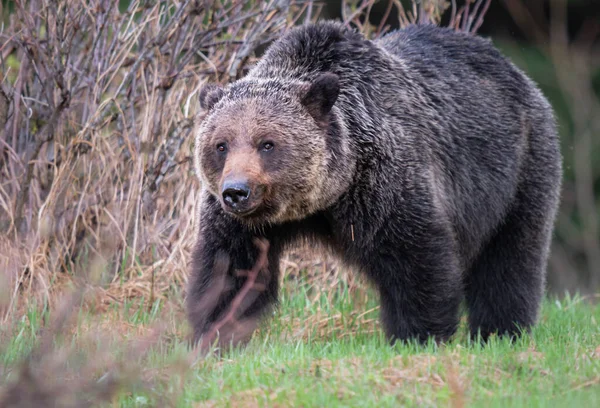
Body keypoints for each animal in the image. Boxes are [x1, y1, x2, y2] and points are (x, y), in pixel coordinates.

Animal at [188, 20, 564, 346]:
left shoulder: (383, 185)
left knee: (509, 258)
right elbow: (229, 270)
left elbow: (417, 260)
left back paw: (501, 331)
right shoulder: (241, 223)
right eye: (220, 145)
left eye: (267, 143)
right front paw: (214, 334)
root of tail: (515, 71)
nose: (236, 192)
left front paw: (419, 335)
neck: (322, 201)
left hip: (517, 169)